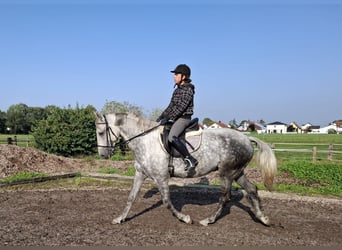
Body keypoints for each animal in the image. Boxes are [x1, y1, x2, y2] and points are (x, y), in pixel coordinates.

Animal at [95, 113, 276, 227]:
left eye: (101, 132)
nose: (103, 154)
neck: (144, 140)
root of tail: (246, 138)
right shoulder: (141, 174)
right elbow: (131, 197)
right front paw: (120, 218)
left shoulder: (161, 177)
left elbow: (167, 202)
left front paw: (185, 218)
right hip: (237, 172)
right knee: (252, 189)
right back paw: (263, 218)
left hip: (226, 173)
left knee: (225, 197)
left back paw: (208, 220)